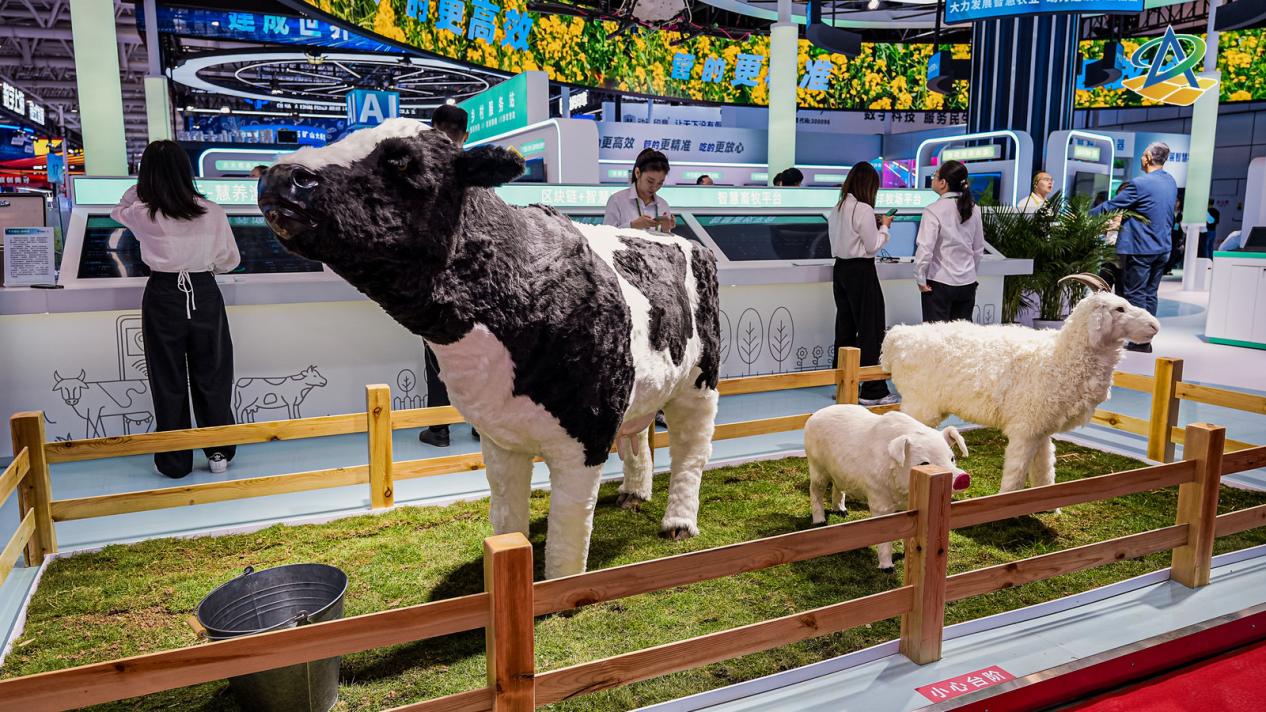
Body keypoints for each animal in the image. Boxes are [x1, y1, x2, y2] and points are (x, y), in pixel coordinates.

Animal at [257, 120, 720, 579]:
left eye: (402, 160)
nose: (279, 175)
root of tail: (678, 239)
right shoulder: (498, 435)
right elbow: (506, 518)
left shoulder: (585, 432)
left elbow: (567, 536)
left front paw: (564, 585)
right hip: (641, 384)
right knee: (638, 435)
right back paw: (634, 493)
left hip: (700, 382)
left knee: (691, 452)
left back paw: (679, 522)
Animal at [805, 404, 971, 571]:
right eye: (924, 463)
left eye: (952, 458)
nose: (963, 477)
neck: (902, 495)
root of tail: (815, 415)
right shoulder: (878, 500)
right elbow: (885, 534)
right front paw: (888, 568)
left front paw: (906, 554)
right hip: (816, 466)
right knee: (815, 490)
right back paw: (820, 522)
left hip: (839, 473)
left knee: (837, 487)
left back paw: (843, 512)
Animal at [880, 274, 1160, 499]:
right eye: (1119, 308)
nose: (1155, 326)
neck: (1060, 355)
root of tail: (897, 336)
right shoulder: (1025, 428)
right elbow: (1016, 469)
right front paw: (1004, 504)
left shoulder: (1042, 429)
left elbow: (1045, 466)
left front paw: (1048, 506)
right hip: (920, 405)